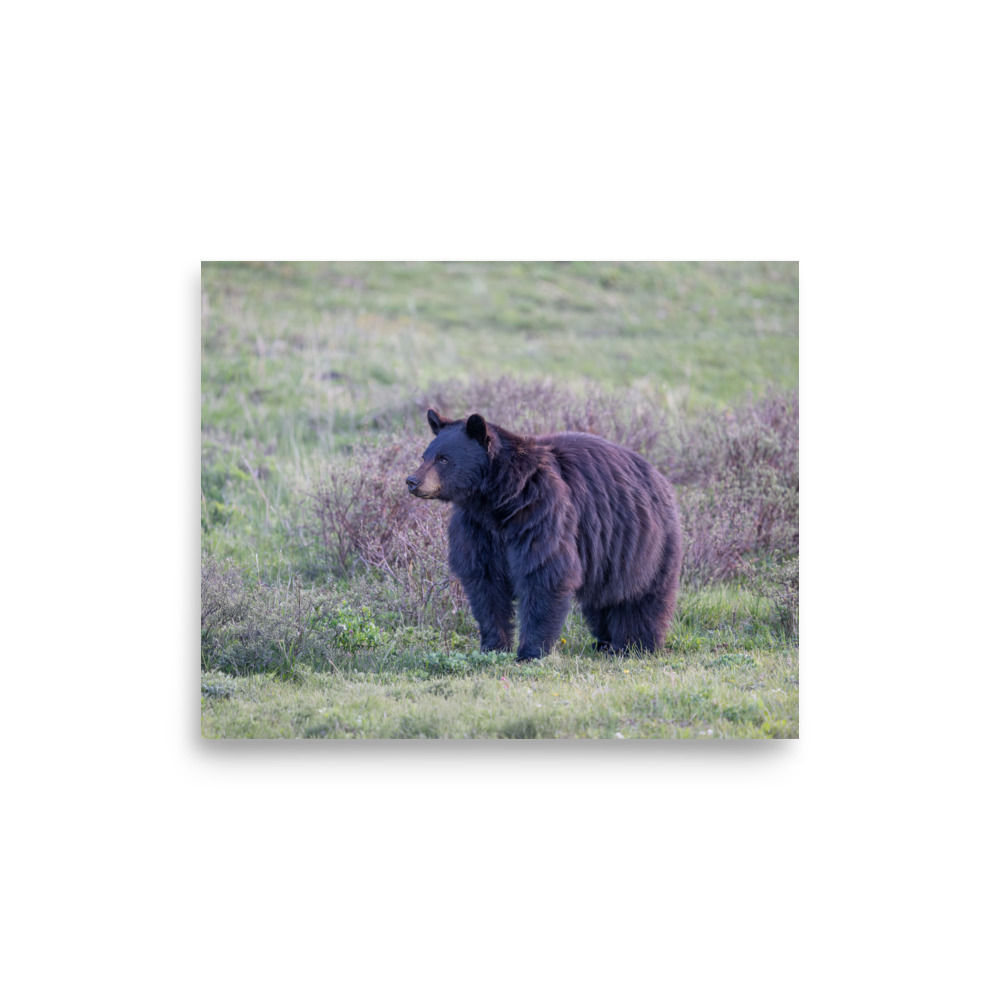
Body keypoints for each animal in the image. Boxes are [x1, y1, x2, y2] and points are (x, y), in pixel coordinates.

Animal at [406, 409, 682, 660]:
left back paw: (635, 645)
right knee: (603, 599)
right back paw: (604, 642)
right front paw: (493, 646)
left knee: (641, 597)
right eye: (425, 455)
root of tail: (661, 478)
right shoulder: (477, 528)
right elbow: (485, 582)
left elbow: (544, 572)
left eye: (443, 459)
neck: (498, 500)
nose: (412, 480)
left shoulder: (540, 512)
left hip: (645, 543)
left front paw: (530, 652)